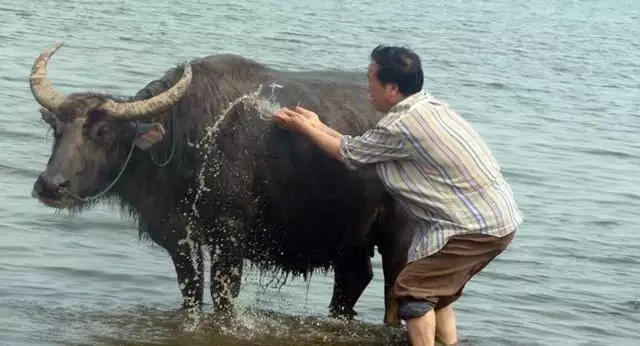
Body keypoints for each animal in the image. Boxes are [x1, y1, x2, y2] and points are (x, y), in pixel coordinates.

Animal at [28, 42, 410, 326]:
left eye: (103, 132)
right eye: (57, 128)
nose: (49, 185)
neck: (187, 140)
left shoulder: (230, 237)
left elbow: (223, 296)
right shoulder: (179, 237)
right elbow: (191, 293)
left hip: (399, 235)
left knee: (395, 291)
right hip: (351, 237)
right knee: (353, 279)